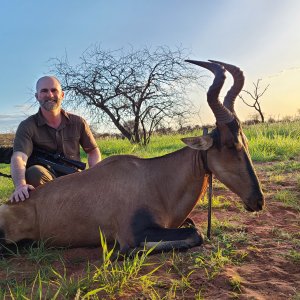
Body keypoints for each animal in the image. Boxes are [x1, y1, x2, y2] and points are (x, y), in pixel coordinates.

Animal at [0, 59, 264, 254]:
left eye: (245, 141)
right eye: (230, 144)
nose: (258, 201)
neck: (152, 177)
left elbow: (193, 227)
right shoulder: (133, 232)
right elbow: (194, 234)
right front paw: (127, 252)